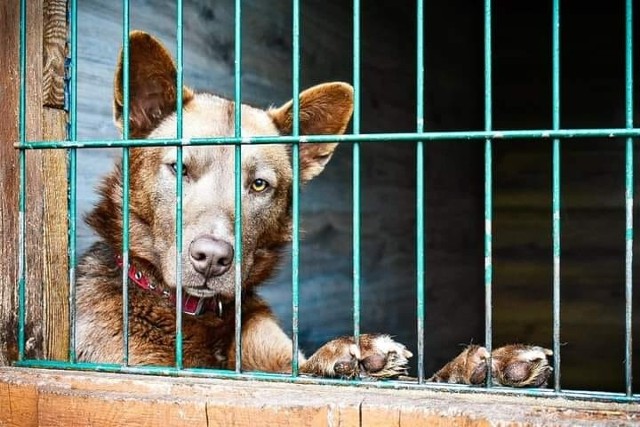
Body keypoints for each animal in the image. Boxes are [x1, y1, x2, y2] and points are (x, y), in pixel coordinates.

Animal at [77, 29, 552, 384]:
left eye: (260, 185)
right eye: (179, 168)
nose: (211, 258)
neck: (199, 318)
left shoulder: (279, 361)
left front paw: (485, 365)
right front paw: (356, 352)